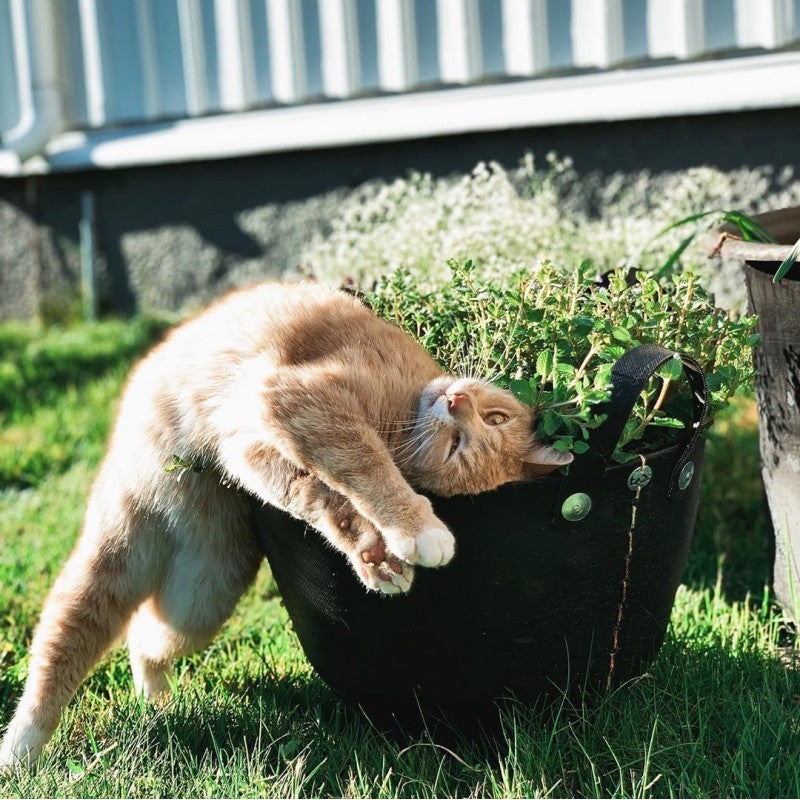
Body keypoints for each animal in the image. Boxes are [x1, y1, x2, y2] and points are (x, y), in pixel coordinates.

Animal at [3, 282, 572, 764]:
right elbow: (363, 471)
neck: (404, 412)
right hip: (122, 545)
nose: (455, 401)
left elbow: (323, 496)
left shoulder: (254, 448)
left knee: (145, 636)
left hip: (204, 594)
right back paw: (22, 746)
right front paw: (418, 529)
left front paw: (376, 557)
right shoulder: (298, 402)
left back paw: (154, 698)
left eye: (461, 443)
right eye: (492, 417)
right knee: (68, 629)